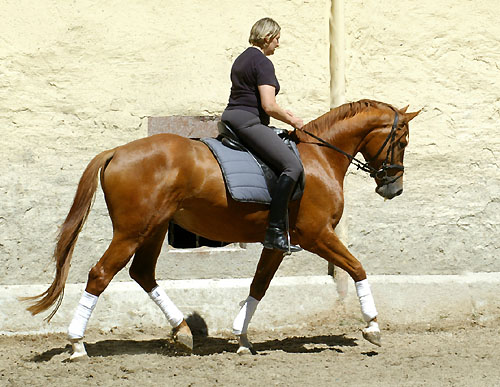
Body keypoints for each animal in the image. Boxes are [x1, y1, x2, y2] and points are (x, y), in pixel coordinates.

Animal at [26, 100, 418, 360]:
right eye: (402, 141)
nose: (393, 189)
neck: (319, 158)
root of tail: (117, 151)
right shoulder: (317, 235)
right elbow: (357, 268)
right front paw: (372, 327)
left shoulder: (277, 243)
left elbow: (259, 285)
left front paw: (242, 338)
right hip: (132, 232)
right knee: (100, 274)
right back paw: (78, 344)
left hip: (153, 230)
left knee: (143, 273)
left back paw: (182, 331)